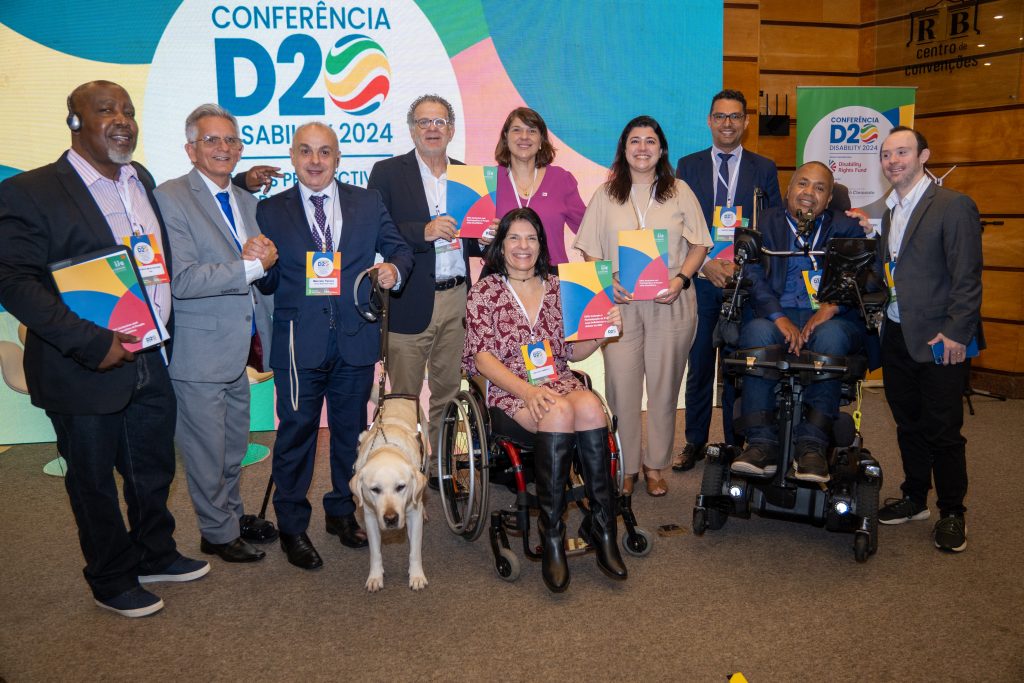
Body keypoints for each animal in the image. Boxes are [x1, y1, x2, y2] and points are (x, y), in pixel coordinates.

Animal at [352, 397, 428, 589]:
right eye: (375, 489)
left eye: (401, 487)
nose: (391, 518)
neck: (387, 447)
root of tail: (398, 396)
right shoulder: (370, 516)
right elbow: (375, 552)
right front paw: (375, 576)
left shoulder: (413, 515)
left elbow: (415, 550)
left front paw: (416, 576)